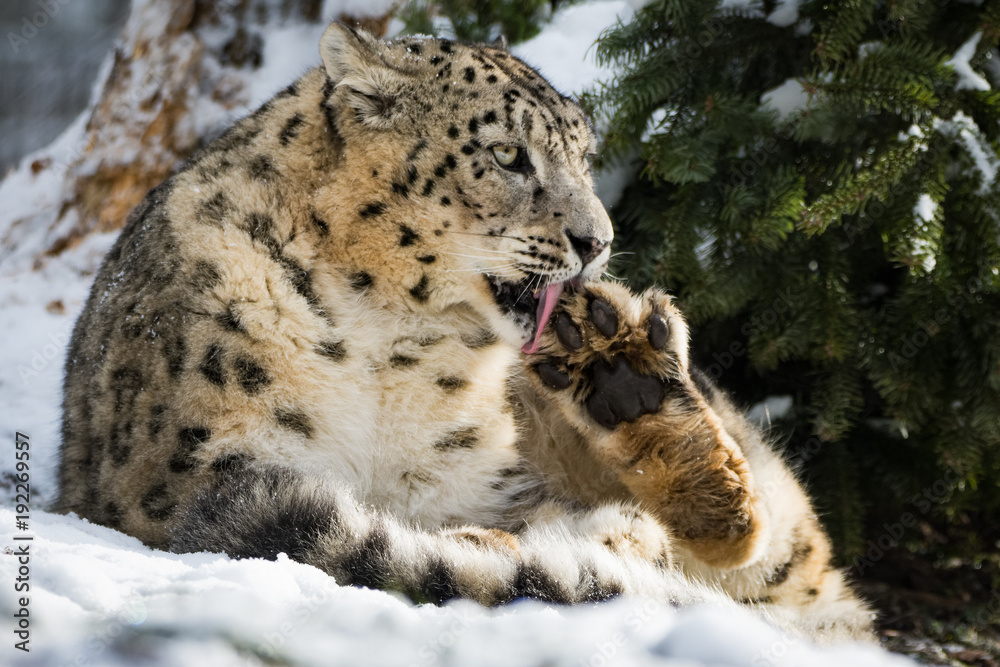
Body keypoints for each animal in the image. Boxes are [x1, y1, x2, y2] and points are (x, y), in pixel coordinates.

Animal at [56, 22, 873, 641]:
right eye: (507, 153)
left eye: (584, 156)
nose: (599, 240)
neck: (387, 345)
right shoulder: (192, 472)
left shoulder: (487, 484)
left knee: (772, 543)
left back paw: (635, 385)